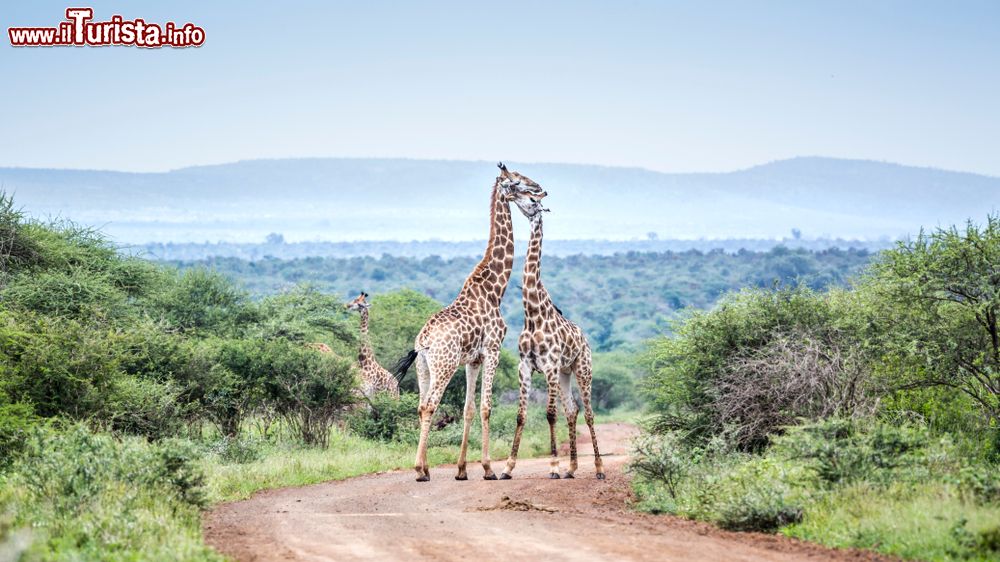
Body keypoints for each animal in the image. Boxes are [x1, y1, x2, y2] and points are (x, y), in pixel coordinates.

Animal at [394, 163, 548, 482]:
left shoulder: (473, 359)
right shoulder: (493, 350)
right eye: (517, 182)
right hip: (445, 364)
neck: (494, 289)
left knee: (420, 405)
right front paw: (488, 468)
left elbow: (468, 408)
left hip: (424, 367)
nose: (541, 189)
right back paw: (419, 470)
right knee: (430, 405)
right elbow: (487, 407)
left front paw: (463, 470)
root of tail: (423, 342)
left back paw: (425, 466)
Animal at [500, 191, 600, 476]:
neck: (533, 315)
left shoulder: (550, 367)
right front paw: (508, 467)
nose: (511, 193)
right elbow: (521, 415)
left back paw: (598, 468)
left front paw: (554, 465)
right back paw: (572, 468)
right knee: (572, 410)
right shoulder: (525, 366)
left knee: (588, 413)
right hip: (566, 373)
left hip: (582, 368)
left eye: (533, 201)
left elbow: (549, 414)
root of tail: (585, 339)